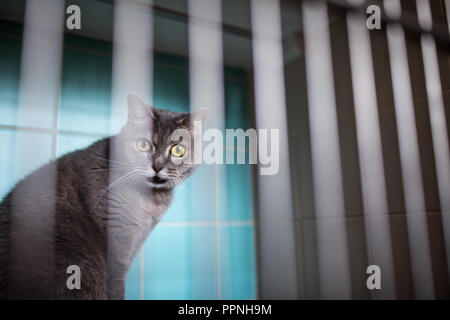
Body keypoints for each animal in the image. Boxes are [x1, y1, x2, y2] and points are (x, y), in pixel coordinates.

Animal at [0, 95, 207, 300]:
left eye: (178, 150)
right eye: (143, 145)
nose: (157, 166)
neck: (151, 200)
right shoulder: (116, 245)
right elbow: (116, 286)